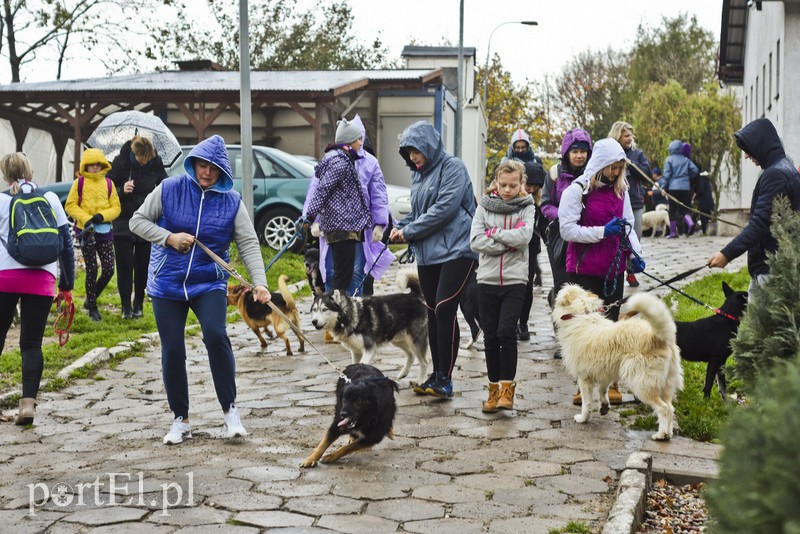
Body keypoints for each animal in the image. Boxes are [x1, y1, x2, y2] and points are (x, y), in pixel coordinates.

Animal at [552, 286, 684, 442]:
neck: (581, 315)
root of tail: (657, 337)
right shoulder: (604, 372)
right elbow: (602, 390)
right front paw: (604, 406)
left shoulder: (584, 378)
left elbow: (586, 402)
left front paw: (583, 418)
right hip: (666, 385)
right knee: (670, 408)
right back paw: (668, 433)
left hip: (642, 384)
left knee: (663, 408)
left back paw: (661, 434)